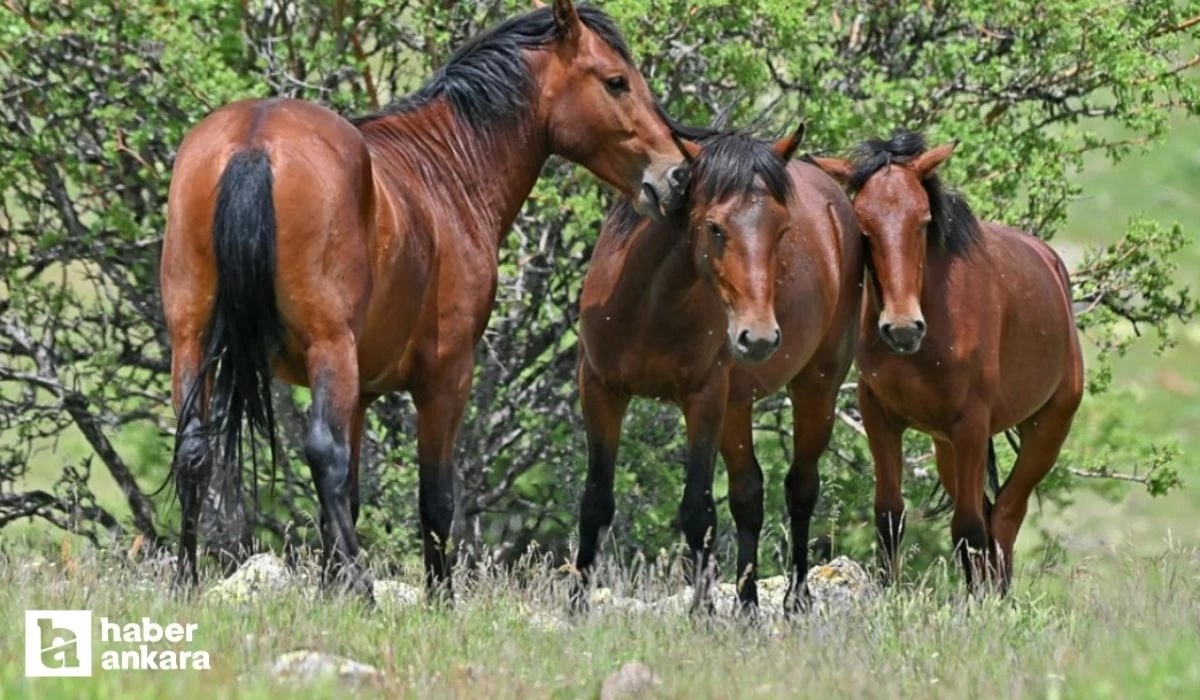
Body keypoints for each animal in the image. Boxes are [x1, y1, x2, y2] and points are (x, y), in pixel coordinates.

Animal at [157, 1, 696, 602]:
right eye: (616, 81)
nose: (677, 174)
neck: (443, 170)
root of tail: (256, 141)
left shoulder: (361, 392)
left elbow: (348, 498)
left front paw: (330, 591)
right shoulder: (446, 375)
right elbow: (434, 498)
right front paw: (437, 598)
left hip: (193, 342)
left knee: (195, 451)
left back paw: (185, 580)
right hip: (327, 346)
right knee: (323, 454)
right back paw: (364, 588)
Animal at [571, 126, 864, 614]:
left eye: (783, 230)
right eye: (714, 227)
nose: (758, 337)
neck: (649, 305)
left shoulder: (704, 400)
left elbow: (698, 510)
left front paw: (703, 612)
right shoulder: (600, 391)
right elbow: (595, 501)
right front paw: (575, 606)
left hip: (816, 387)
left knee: (800, 487)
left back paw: (796, 599)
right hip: (737, 406)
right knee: (749, 494)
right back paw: (746, 607)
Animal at [811, 131, 1084, 590]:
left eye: (923, 221)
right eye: (863, 228)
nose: (903, 328)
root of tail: (1051, 264)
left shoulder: (971, 423)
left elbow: (968, 528)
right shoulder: (879, 415)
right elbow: (890, 516)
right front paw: (889, 593)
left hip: (1047, 429)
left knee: (1004, 517)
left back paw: (998, 595)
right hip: (945, 446)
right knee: (992, 516)